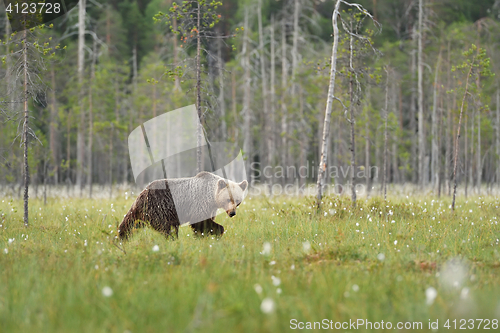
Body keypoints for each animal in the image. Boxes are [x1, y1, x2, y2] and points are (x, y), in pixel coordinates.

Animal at [117, 171, 250, 239]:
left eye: (238, 201)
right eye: (228, 199)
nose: (232, 213)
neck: (212, 198)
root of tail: (141, 195)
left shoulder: (211, 208)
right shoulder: (200, 202)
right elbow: (200, 221)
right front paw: (218, 230)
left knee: (130, 225)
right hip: (159, 208)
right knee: (166, 228)